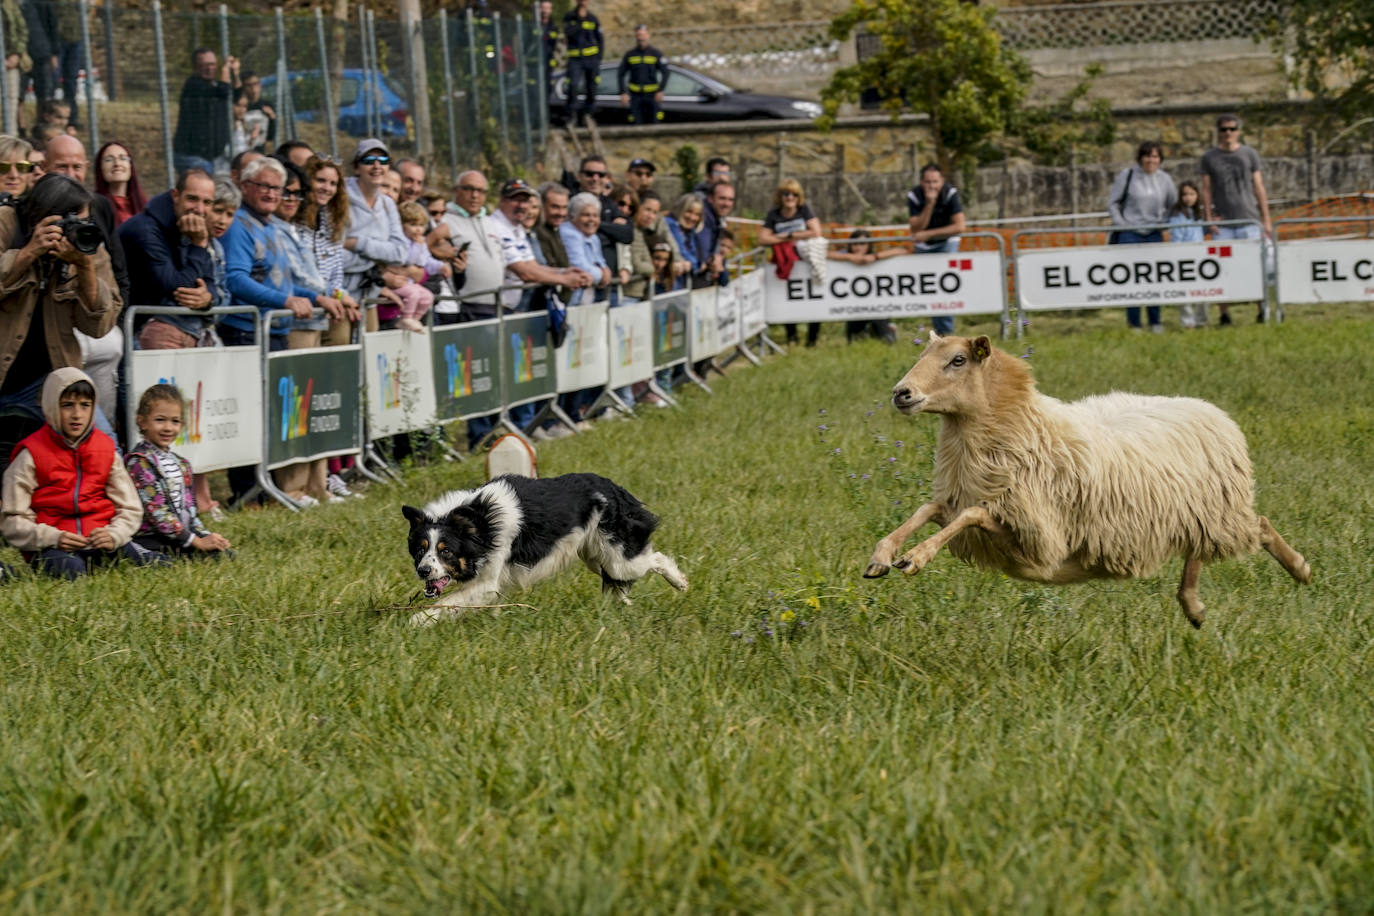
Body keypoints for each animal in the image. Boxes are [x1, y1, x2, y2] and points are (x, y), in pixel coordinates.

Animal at [403, 477, 687, 626]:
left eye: (446, 552)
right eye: (420, 550)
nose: (423, 571)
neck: (481, 525)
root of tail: (614, 488)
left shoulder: (488, 580)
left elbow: (449, 601)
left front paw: (417, 620)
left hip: (618, 556)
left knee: (654, 559)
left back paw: (680, 582)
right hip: (595, 556)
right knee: (617, 583)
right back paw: (624, 606)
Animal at [862, 333, 1313, 626]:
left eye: (958, 360)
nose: (901, 393)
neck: (1019, 426)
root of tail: (1212, 411)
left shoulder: (1036, 539)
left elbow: (970, 514)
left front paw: (915, 558)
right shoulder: (967, 505)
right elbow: (928, 509)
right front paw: (882, 557)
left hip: (1219, 509)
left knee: (1260, 526)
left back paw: (1301, 569)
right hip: (1194, 510)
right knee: (1198, 547)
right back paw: (1194, 609)